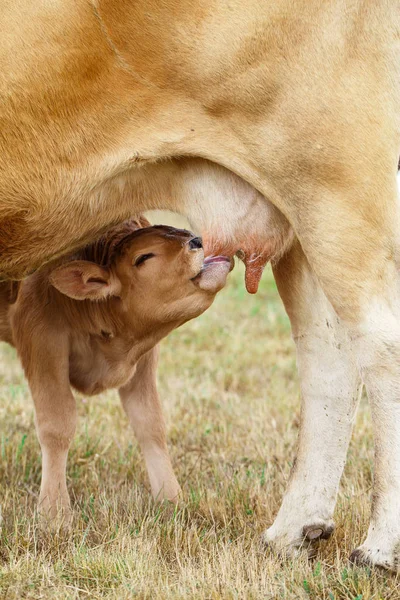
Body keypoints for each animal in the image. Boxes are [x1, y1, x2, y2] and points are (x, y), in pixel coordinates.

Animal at [0, 0, 400, 568]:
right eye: (144, 254)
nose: (193, 241)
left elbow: (64, 422)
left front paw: (54, 517)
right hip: (299, 217)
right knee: (327, 350)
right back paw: (296, 528)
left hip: (335, 183)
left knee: (381, 347)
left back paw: (379, 545)